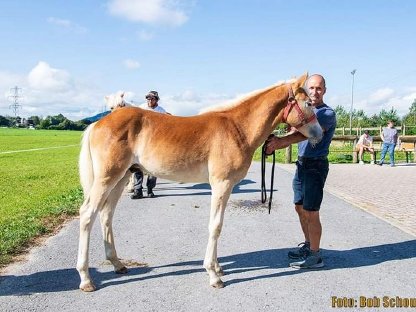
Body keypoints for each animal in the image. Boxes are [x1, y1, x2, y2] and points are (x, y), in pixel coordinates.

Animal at [76, 72, 324, 290]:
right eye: (308, 103)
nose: (320, 133)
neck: (237, 129)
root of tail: (98, 123)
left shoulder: (226, 187)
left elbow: (217, 225)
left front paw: (218, 267)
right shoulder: (221, 184)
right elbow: (215, 226)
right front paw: (214, 275)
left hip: (121, 178)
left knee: (106, 215)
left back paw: (117, 264)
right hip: (108, 177)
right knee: (88, 214)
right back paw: (86, 279)